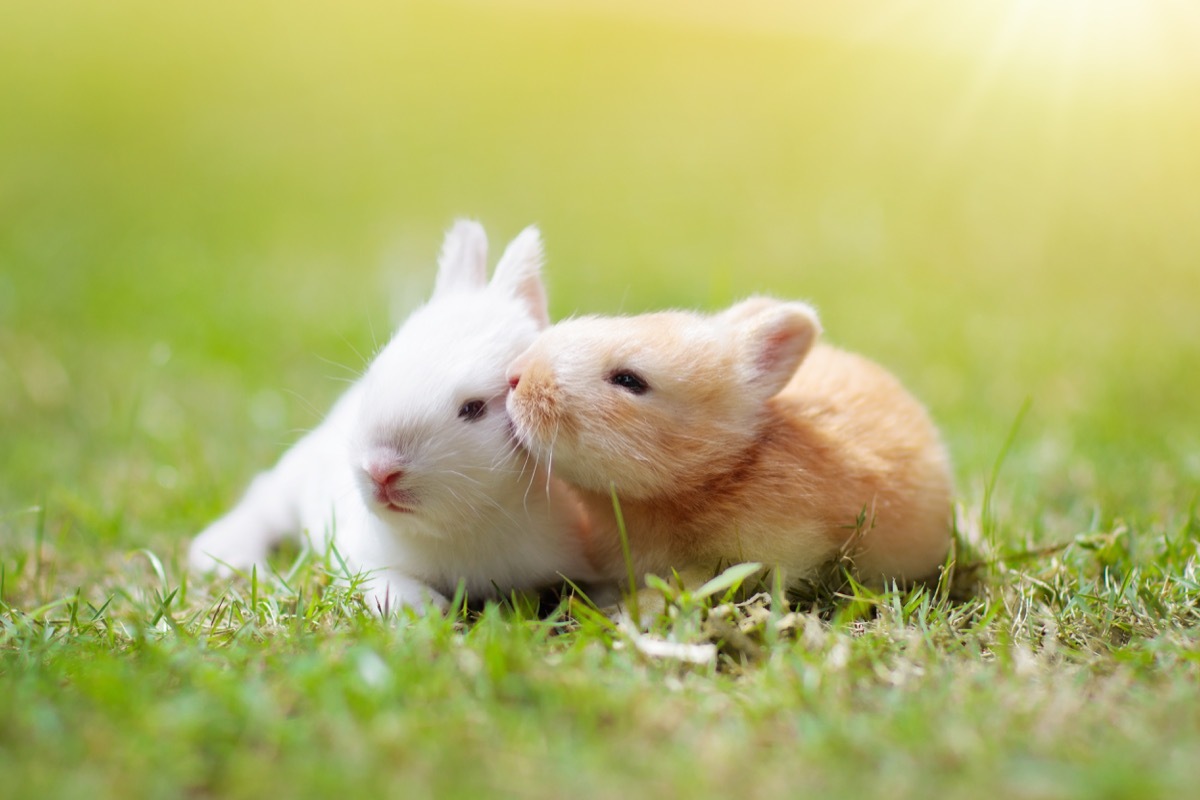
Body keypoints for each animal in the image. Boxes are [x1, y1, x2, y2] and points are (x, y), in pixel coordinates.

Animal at [188, 221, 595, 618]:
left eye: (474, 409)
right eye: (373, 375)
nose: (381, 470)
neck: (471, 526)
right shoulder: (360, 553)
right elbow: (384, 581)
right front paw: (423, 610)